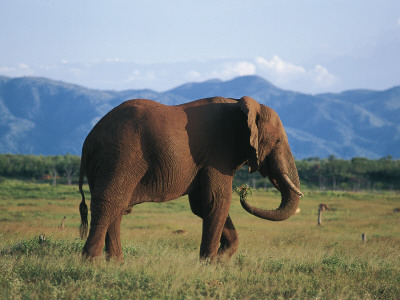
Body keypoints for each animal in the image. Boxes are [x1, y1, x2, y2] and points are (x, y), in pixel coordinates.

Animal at [79, 96, 304, 262]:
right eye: (278, 141)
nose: (244, 193)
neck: (242, 105)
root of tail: (89, 140)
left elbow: (202, 205)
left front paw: (221, 258)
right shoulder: (219, 153)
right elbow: (217, 201)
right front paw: (210, 264)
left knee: (118, 207)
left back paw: (117, 263)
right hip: (120, 157)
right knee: (110, 203)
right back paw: (91, 262)